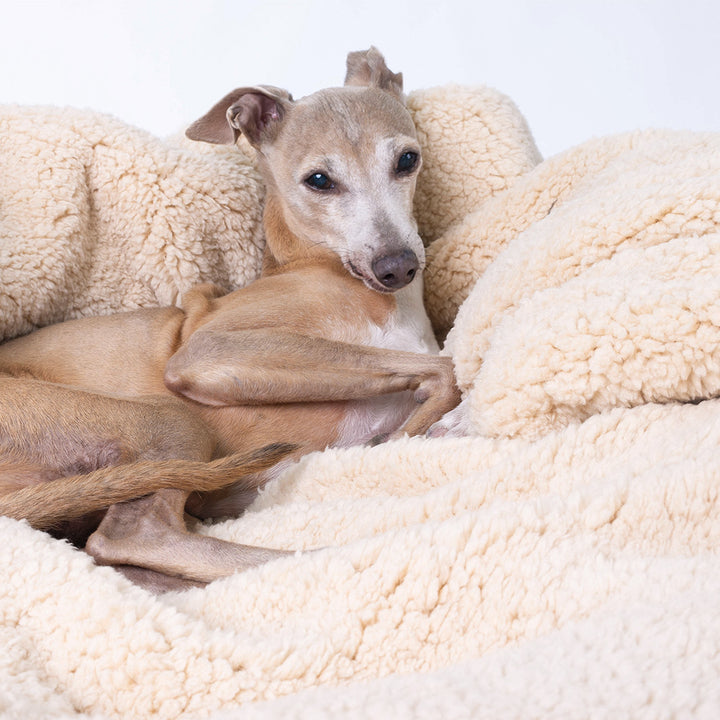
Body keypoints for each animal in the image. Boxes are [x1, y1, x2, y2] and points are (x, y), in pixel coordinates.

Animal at [0, 49, 462, 592]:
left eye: (407, 159)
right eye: (319, 180)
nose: (396, 267)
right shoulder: (206, 353)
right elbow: (444, 372)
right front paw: (412, 432)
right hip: (165, 420)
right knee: (132, 536)